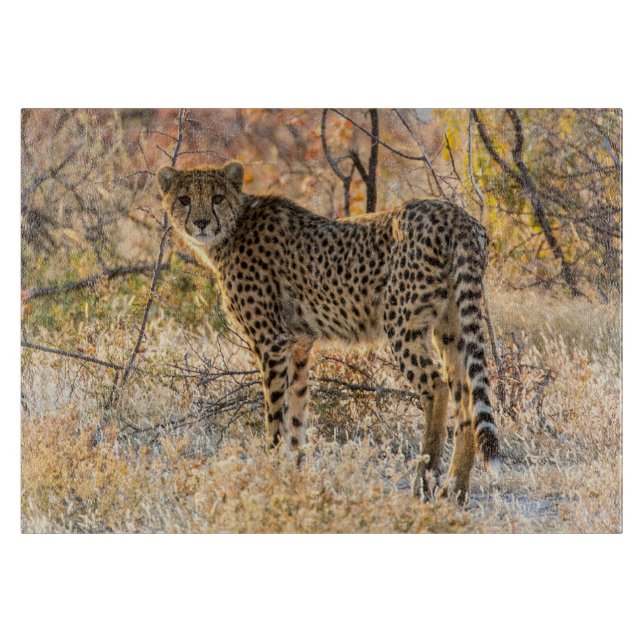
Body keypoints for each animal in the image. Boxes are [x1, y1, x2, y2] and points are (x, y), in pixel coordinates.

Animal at [157, 161, 500, 501]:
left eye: (216, 197)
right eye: (185, 199)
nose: (201, 223)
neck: (234, 226)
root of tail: (454, 213)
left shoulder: (271, 342)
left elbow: (275, 415)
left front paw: (271, 473)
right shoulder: (298, 343)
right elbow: (296, 412)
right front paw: (295, 475)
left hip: (402, 323)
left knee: (437, 387)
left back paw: (423, 481)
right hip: (450, 327)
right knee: (467, 398)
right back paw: (456, 489)